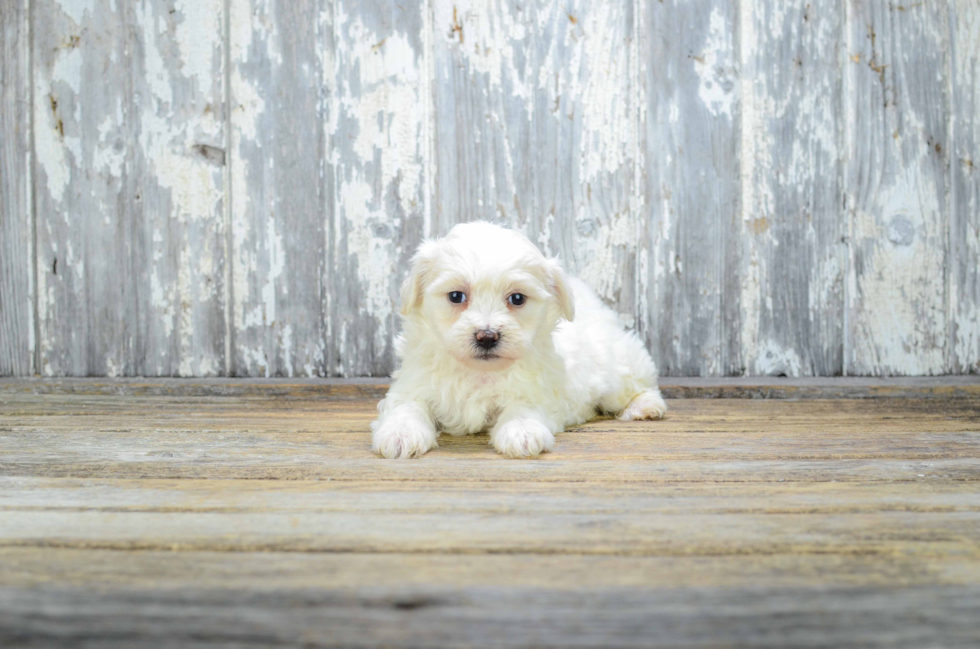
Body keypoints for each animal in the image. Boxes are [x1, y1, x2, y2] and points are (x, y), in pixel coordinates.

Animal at [370, 220, 668, 458]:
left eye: (517, 298)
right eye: (456, 296)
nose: (487, 336)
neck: (478, 372)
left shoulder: (538, 390)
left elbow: (523, 406)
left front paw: (522, 432)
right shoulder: (412, 384)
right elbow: (406, 406)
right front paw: (399, 434)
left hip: (616, 369)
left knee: (640, 382)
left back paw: (645, 406)